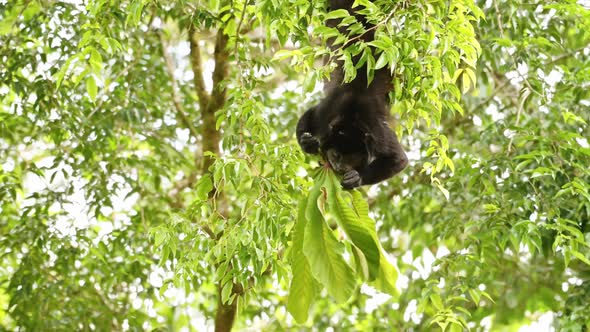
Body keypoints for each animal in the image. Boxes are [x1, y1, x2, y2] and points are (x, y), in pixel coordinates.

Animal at [296, 0, 408, 189]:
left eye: (353, 159)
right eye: (337, 155)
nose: (339, 167)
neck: (349, 119)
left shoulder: (376, 130)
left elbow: (398, 159)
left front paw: (357, 178)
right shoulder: (325, 113)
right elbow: (309, 115)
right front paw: (307, 144)